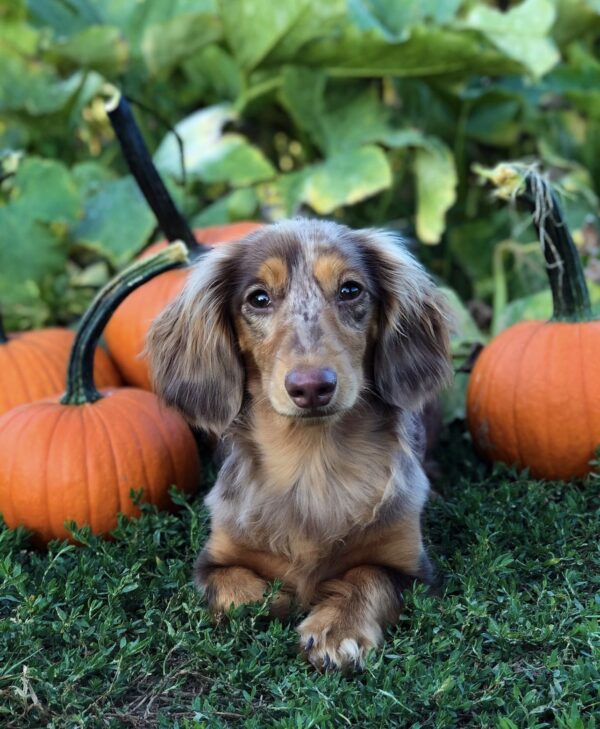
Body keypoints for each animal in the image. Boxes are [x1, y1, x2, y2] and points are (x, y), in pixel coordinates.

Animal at [146, 220, 450, 672]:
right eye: (258, 298)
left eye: (350, 290)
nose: (311, 387)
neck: (312, 465)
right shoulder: (214, 561)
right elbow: (239, 592)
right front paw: (281, 598)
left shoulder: (409, 566)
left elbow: (368, 576)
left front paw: (337, 631)